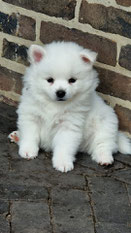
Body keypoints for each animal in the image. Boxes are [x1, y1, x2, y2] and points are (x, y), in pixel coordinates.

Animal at [8, 41, 131, 172]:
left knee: (105, 144)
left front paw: (63, 163)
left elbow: (64, 145)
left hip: (105, 124)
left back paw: (104, 158)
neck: (54, 104)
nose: (60, 92)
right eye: (50, 80)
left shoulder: (69, 125)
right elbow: (30, 135)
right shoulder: (31, 116)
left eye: (72, 80)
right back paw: (17, 136)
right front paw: (28, 150)